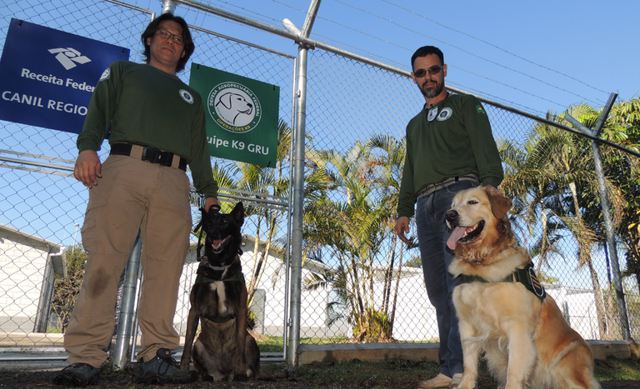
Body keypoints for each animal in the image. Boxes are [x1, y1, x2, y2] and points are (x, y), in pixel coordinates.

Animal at [179, 202, 258, 380]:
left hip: (251, 341)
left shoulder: (241, 309)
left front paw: (241, 369)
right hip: (198, 345)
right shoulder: (194, 310)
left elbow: (240, 341)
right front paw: (182, 369)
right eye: (209, 223)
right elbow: (186, 342)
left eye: (225, 222)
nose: (213, 233)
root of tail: (223, 373)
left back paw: (243, 372)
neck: (219, 266)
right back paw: (202, 375)